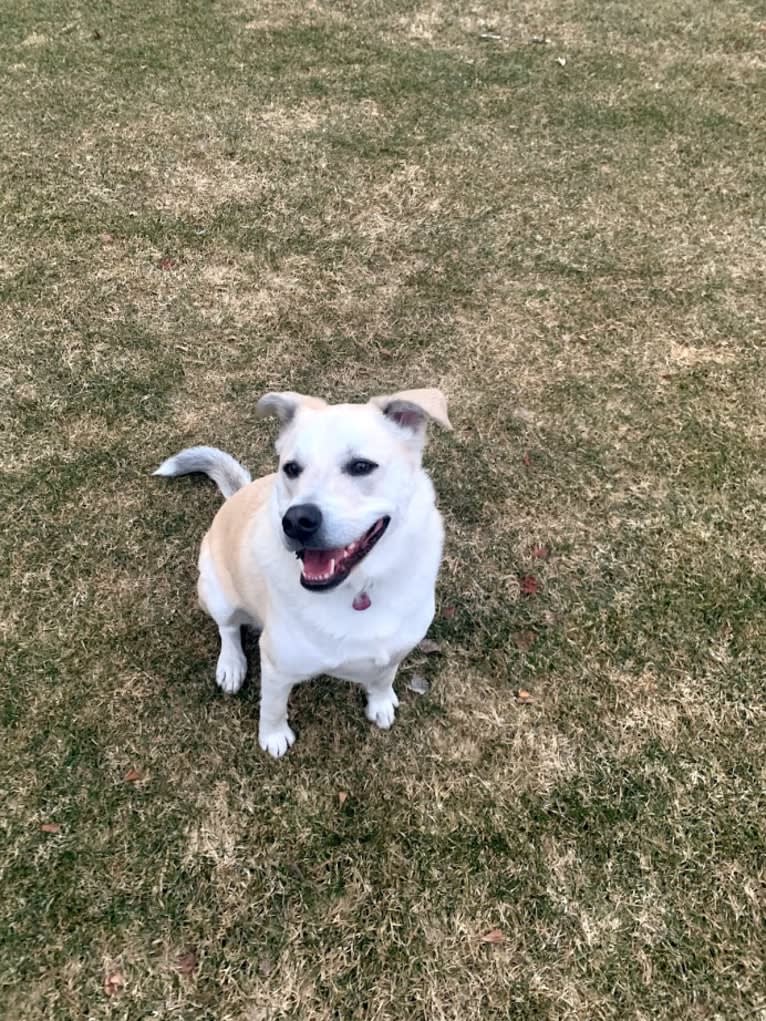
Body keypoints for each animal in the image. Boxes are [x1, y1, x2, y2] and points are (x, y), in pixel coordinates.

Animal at [154, 385, 449, 755]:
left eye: (361, 466)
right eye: (292, 468)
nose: (296, 521)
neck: (358, 588)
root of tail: (236, 495)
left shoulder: (396, 649)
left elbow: (384, 678)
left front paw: (380, 703)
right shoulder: (277, 664)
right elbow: (272, 706)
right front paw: (273, 737)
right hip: (216, 591)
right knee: (228, 629)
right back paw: (231, 666)